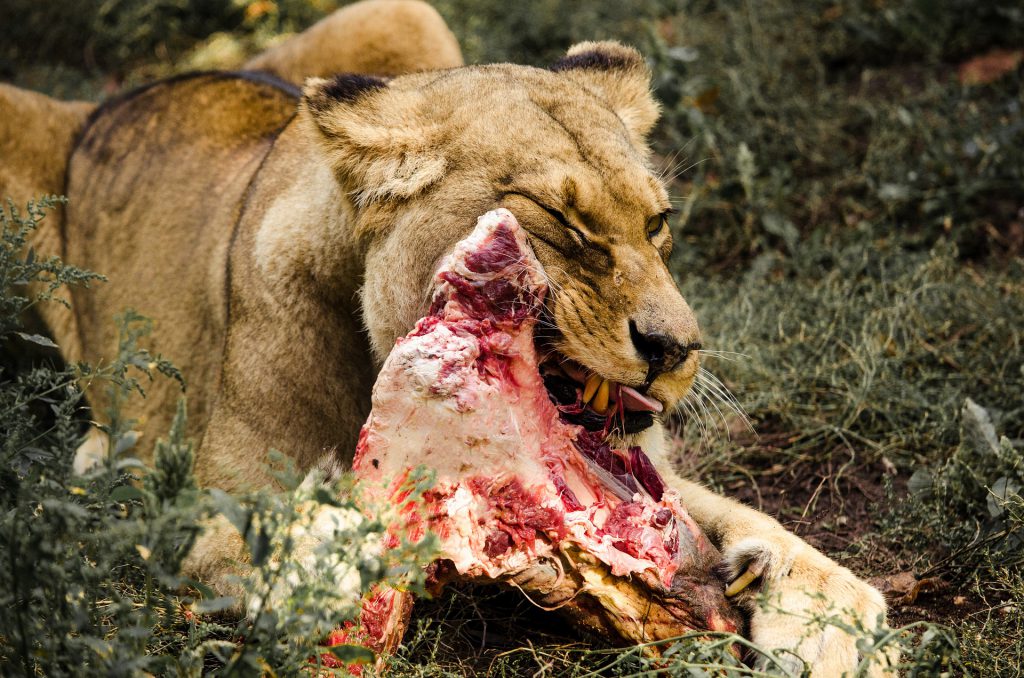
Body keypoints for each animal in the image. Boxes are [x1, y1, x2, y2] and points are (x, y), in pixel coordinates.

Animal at [2, 3, 890, 674]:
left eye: (657, 223)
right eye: (561, 221)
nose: (678, 350)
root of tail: (127, 92)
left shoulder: (649, 475)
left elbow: (753, 522)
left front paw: (833, 622)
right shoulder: (207, 503)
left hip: (404, 14)